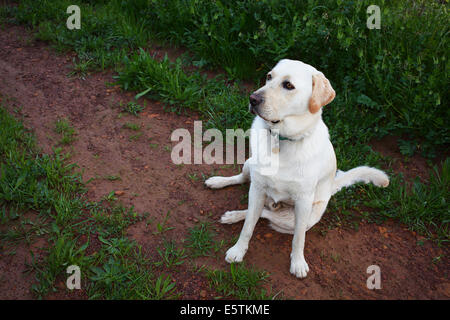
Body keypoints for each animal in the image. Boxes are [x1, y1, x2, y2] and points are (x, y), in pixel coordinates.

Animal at [206, 59, 388, 278]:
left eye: (288, 85)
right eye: (269, 77)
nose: (252, 98)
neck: (282, 138)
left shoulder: (303, 202)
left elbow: (298, 238)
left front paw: (298, 262)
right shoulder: (257, 189)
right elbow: (248, 226)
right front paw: (238, 250)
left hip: (305, 215)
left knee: (266, 214)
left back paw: (235, 215)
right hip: (250, 167)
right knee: (246, 189)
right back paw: (221, 188)